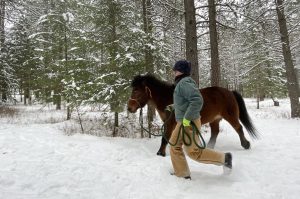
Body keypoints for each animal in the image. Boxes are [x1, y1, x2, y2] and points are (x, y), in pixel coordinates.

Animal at [126, 74, 258, 156]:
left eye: (136, 90)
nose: (129, 108)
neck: (168, 98)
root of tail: (230, 92)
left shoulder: (170, 122)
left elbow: (165, 137)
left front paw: (160, 153)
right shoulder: (169, 122)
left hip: (230, 116)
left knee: (238, 128)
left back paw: (246, 144)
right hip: (214, 119)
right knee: (215, 132)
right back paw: (209, 147)